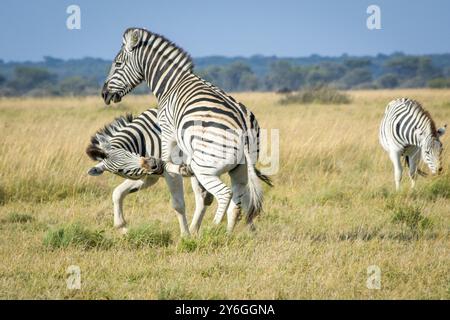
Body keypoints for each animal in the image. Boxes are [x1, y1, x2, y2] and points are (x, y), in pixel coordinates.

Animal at [101, 27, 270, 232]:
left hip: (205, 167)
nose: (104, 94)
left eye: (117, 64)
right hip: (240, 168)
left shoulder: (167, 128)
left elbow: (167, 159)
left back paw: (214, 228)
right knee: (238, 201)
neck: (171, 83)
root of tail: (242, 124)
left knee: (224, 194)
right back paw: (228, 234)